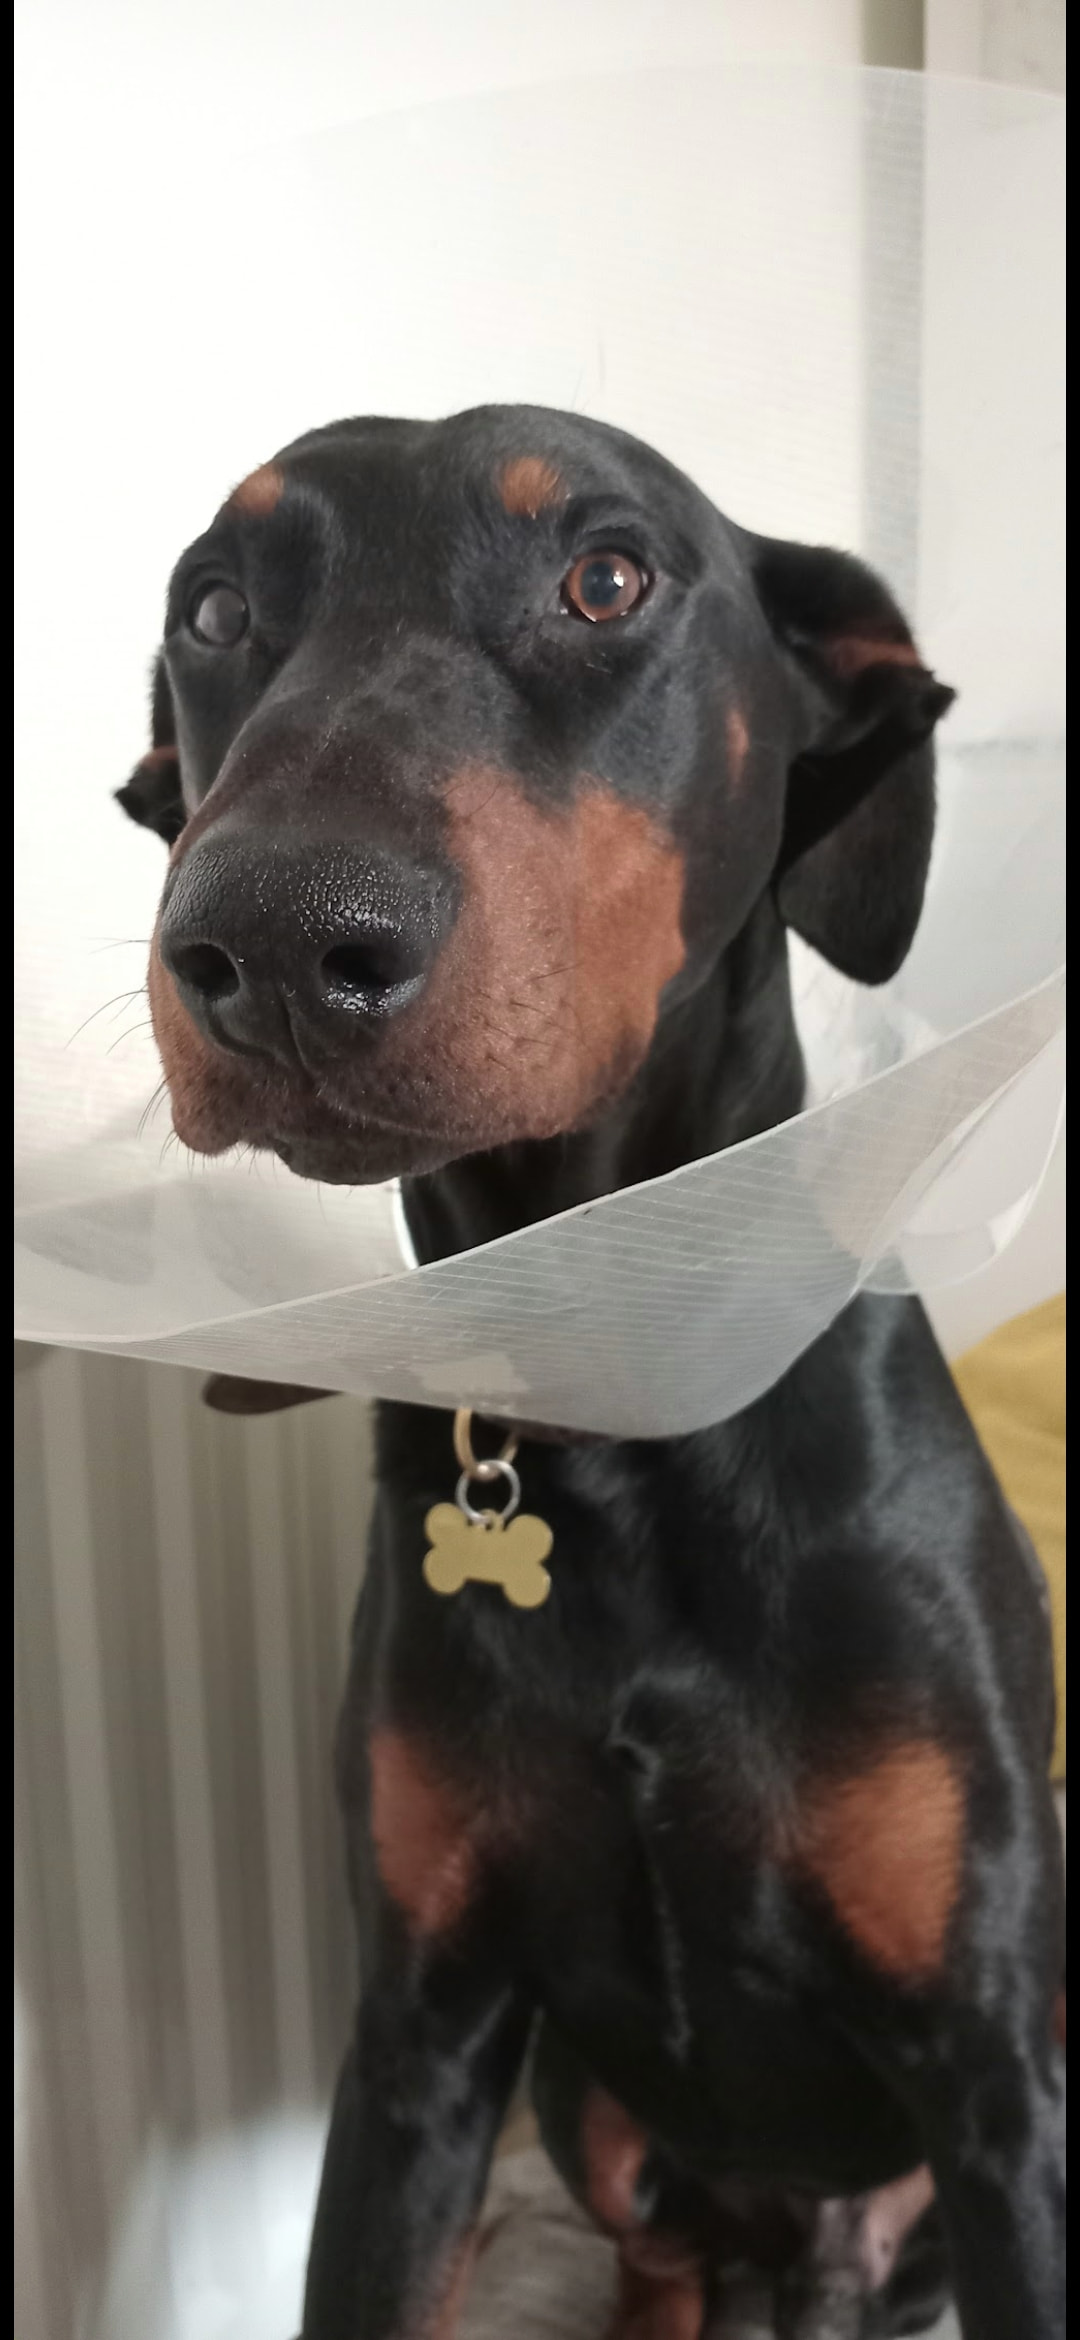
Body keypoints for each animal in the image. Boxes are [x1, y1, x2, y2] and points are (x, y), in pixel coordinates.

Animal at [117, 407, 1064, 2339]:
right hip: (588, 2110)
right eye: (216, 607)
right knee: (658, 2257)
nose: (273, 938)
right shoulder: (422, 2041)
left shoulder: (995, 2078)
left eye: (609, 574)